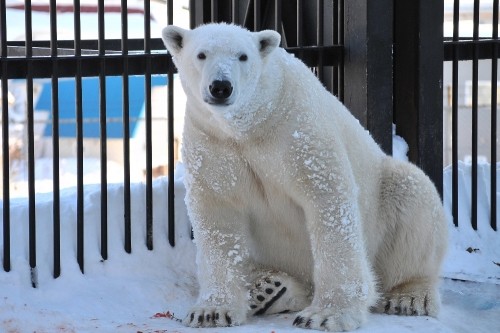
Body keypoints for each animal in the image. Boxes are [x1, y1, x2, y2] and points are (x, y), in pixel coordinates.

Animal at [162, 22, 448, 330]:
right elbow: (218, 214)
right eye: (201, 54)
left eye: (243, 56)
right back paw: (269, 289)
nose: (221, 87)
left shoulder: (297, 130)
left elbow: (327, 202)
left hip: (386, 197)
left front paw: (326, 315)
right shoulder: (212, 141)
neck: (253, 124)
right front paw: (211, 312)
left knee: (413, 200)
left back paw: (409, 296)